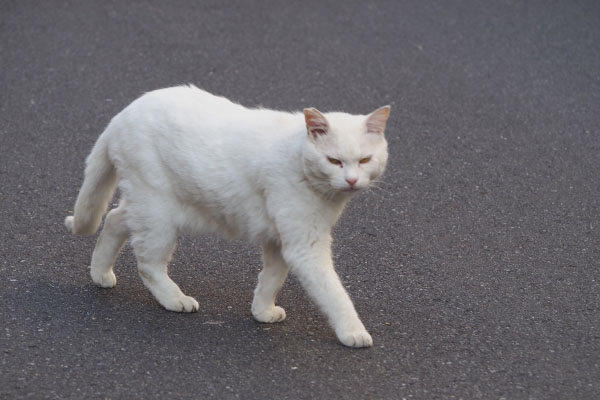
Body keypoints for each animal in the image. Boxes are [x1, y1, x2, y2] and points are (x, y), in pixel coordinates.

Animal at [65, 84, 392, 346]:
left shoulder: (279, 240)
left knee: (113, 220)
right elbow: (334, 293)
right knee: (148, 264)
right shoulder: (305, 246)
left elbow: (272, 278)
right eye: (334, 161)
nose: (351, 180)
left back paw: (101, 274)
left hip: (146, 207)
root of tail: (122, 115)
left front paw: (262, 311)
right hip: (158, 214)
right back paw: (175, 299)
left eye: (365, 160)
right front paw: (353, 332)